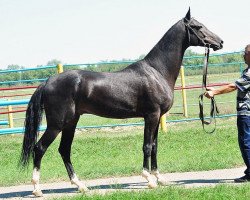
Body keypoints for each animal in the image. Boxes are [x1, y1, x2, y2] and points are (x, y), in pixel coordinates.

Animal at [20, 8, 223, 196]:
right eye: (198, 27)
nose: (220, 42)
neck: (157, 71)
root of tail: (47, 82)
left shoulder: (157, 117)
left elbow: (155, 147)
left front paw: (160, 178)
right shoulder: (151, 115)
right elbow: (147, 146)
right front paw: (149, 179)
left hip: (71, 122)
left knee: (64, 150)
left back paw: (80, 185)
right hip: (57, 124)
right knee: (40, 148)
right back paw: (37, 189)